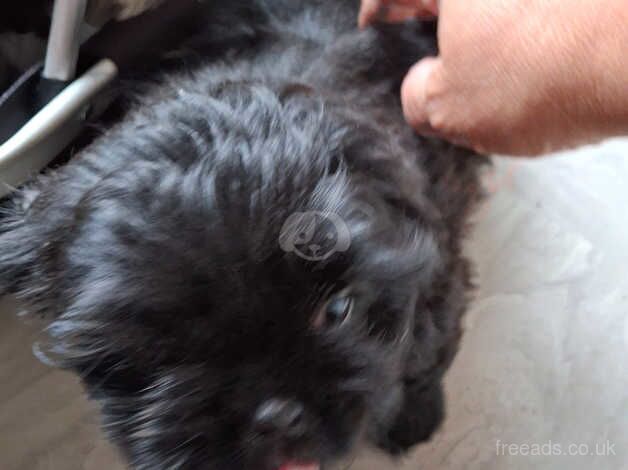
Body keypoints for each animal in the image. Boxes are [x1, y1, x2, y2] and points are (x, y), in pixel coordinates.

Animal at [0, 1, 484, 468]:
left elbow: (428, 344)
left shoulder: (439, 259)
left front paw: (414, 415)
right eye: (159, 351)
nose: (276, 415)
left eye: (338, 310)